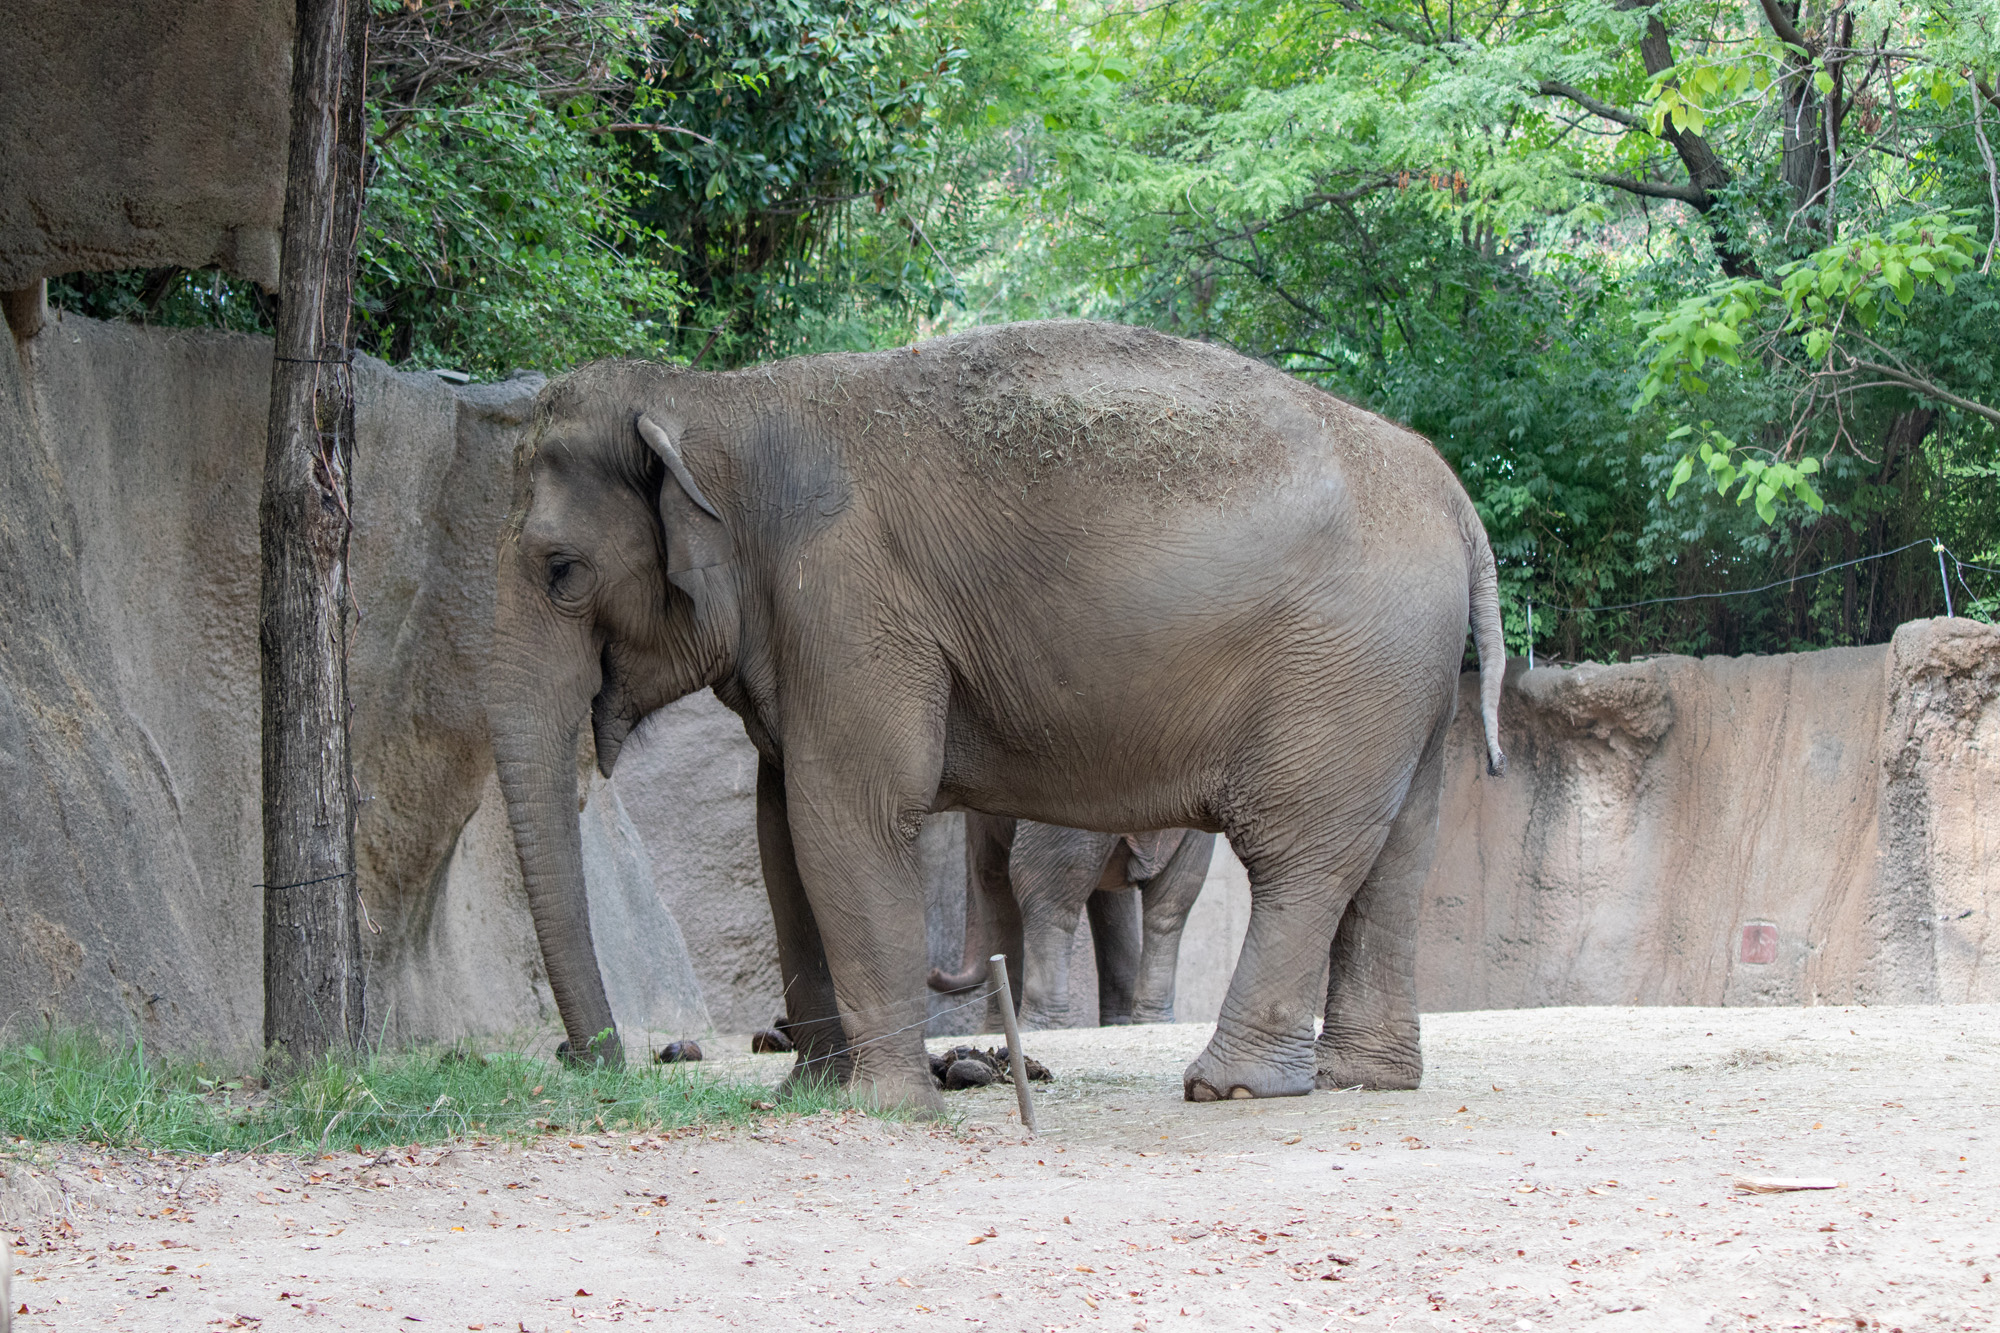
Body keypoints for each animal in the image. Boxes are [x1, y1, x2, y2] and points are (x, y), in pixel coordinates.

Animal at [928, 815, 1215, 1031]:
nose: (933, 972)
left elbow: (991, 877)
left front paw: (992, 1033)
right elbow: (1113, 899)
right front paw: (1118, 1025)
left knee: (1040, 895)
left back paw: (1035, 1029)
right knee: (1169, 906)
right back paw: (1151, 1024)